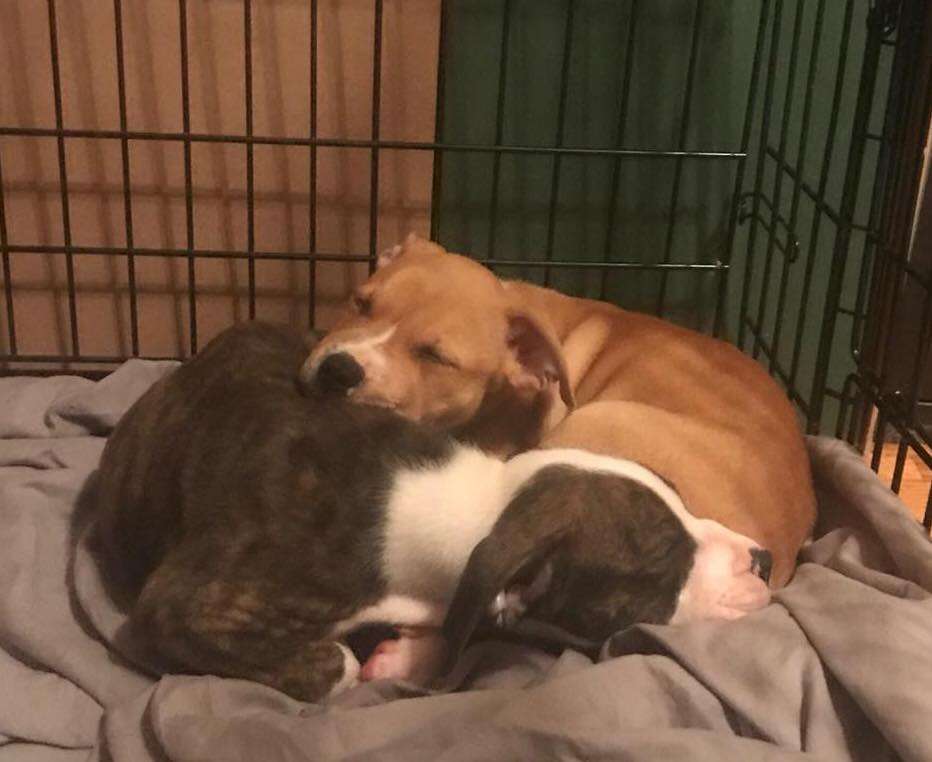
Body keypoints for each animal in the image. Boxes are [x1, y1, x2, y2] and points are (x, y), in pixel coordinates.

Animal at [91, 320, 768, 700]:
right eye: (666, 563)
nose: (762, 560)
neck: (484, 501)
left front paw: (412, 653)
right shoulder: (181, 607)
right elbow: (334, 663)